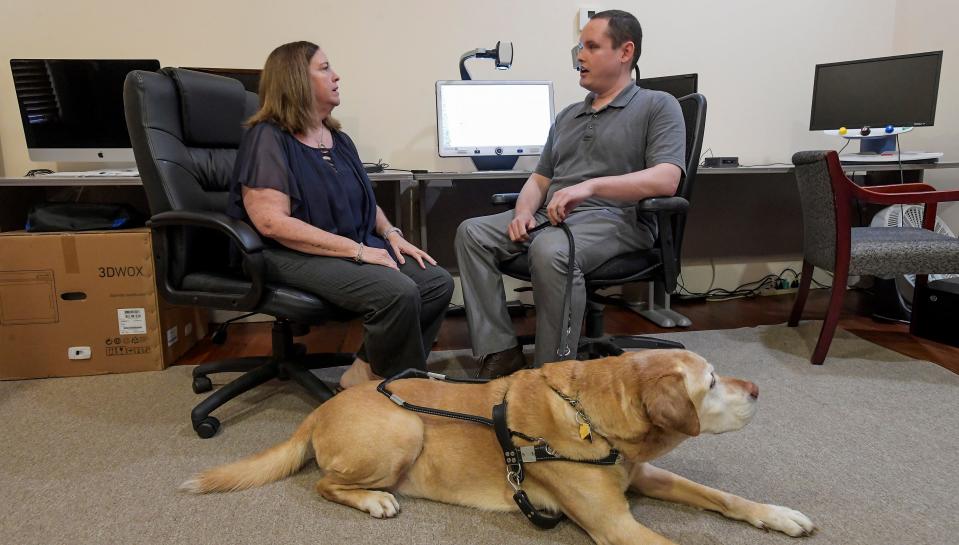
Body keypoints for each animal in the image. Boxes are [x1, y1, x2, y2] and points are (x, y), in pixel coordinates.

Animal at [184, 350, 812, 540]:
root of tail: (318, 408)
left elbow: (723, 496)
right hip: (404, 429)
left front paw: (778, 515)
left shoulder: (643, 476)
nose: (758, 390)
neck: (590, 417)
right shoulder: (617, 526)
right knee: (323, 483)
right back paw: (374, 499)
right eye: (712, 383)